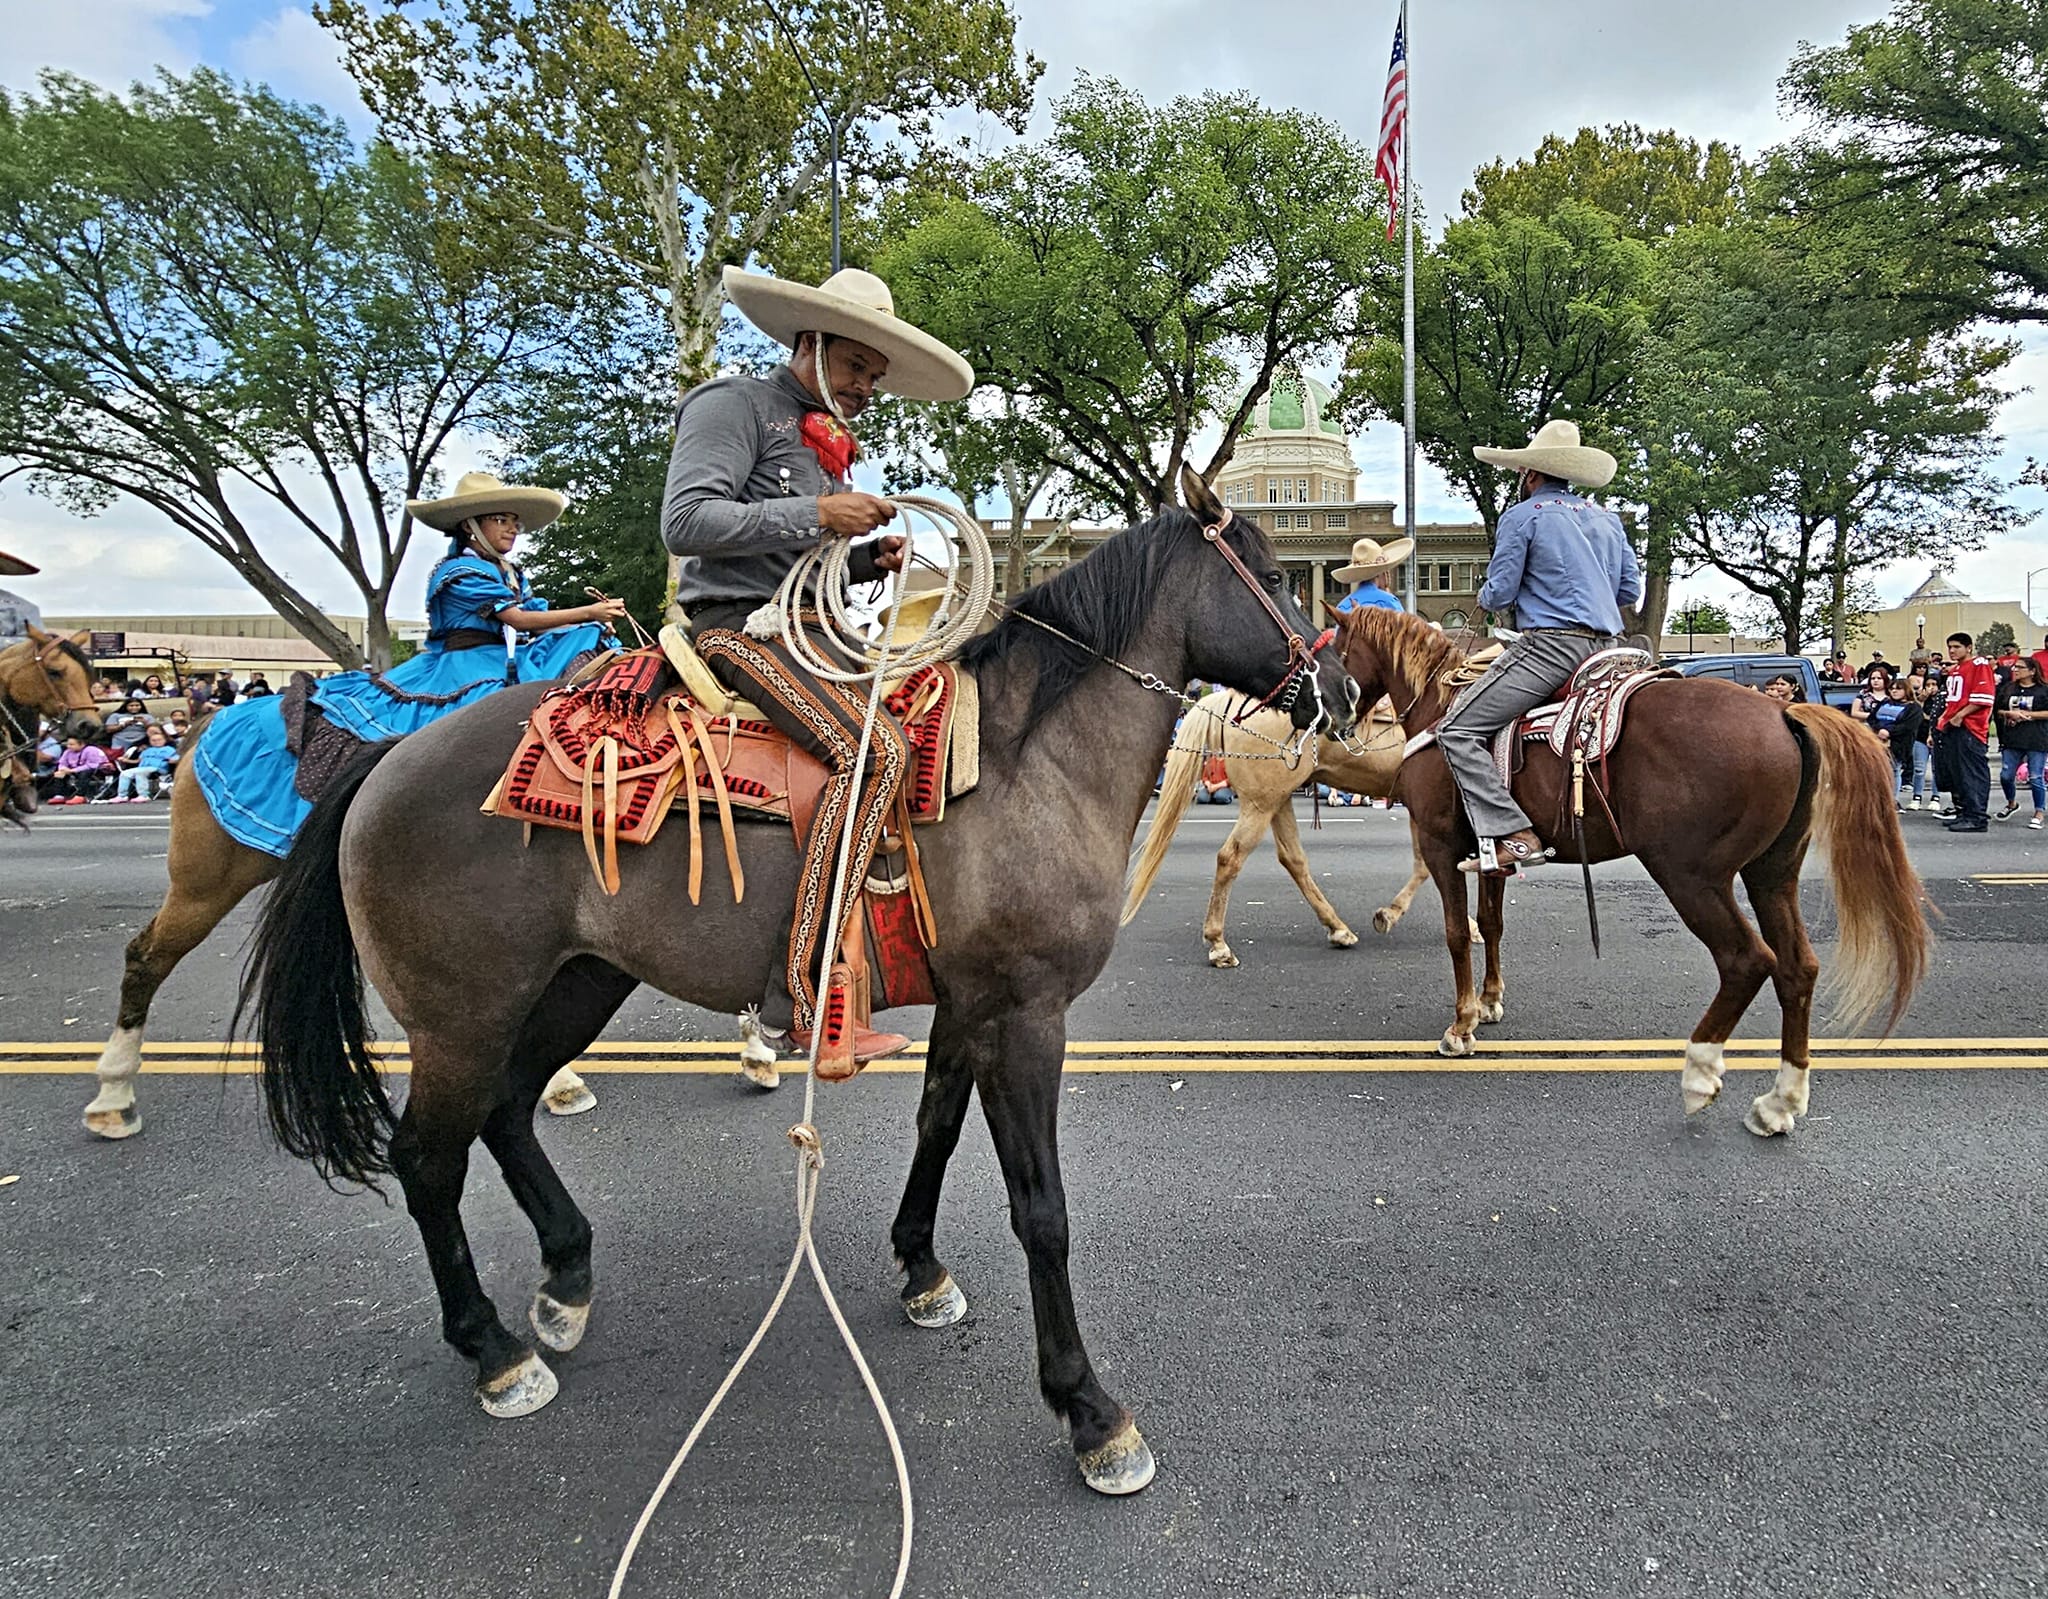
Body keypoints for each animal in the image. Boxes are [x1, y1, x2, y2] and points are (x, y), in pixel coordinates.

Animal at [243, 468, 1359, 1490]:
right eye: (1273, 576)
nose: (1344, 695)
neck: (1026, 762)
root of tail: (386, 759)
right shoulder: (1025, 1014)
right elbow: (1040, 1209)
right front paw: (1088, 1410)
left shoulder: (970, 1005)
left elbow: (936, 1129)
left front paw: (920, 1269)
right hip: (462, 1015)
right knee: (429, 1160)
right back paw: (495, 1352)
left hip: (574, 983)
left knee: (510, 1110)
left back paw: (565, 1278)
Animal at [1122, 687, 1425, 962]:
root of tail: (1229, 698)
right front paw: (1390, 913)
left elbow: (1423, 864)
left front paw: (1389, 913)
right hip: (1262, 803)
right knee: (1230, 858)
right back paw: (1218, 944)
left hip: (1277, 798)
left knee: (1293, 858)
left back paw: (1337, 928)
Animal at [1335, 601, 1925, 1138]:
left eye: (1334, 652)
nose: (1331, 719)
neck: (1440, 706)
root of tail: (1784, 713)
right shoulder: (1490, 854)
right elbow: (1492, 925)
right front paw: (1489, 1003)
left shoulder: (1440, 843)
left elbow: (1459, 932)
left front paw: (1461, 1027)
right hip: (1771, 873)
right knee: (1797, 968)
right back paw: (1779, 1104)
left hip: (1690, 875)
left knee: (1747, 960)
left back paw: (1699, 1074)